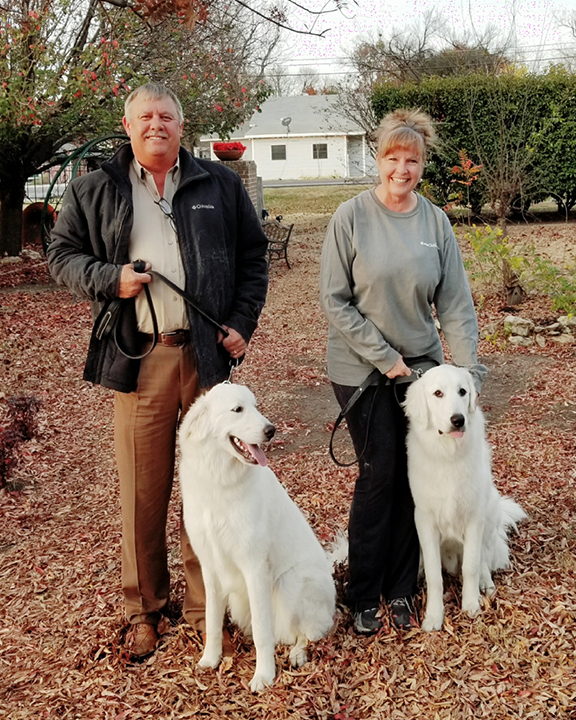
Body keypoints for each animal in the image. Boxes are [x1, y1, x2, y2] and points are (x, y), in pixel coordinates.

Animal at [178, 382, 336, 692]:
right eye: (238, 409)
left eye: (255, 406)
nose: (271, 430)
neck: (220, 481)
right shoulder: (209, 567)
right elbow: (212, 619)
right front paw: (210, 659)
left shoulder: (254, 567)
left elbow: (265, 634)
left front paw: (263, 676)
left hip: (289, 584)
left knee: (310, 633)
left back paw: (297, 654)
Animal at [402, 366, 524, 632]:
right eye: (438, 393)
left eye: (462, 391)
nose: (458, 419)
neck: (448, 454)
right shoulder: (424, 521)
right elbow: (435, 576)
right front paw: (434, 616)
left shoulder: (475, 519)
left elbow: (471, 565)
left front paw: (471, 604)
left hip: (490, 516)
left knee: (484, 559)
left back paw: (485, 583)